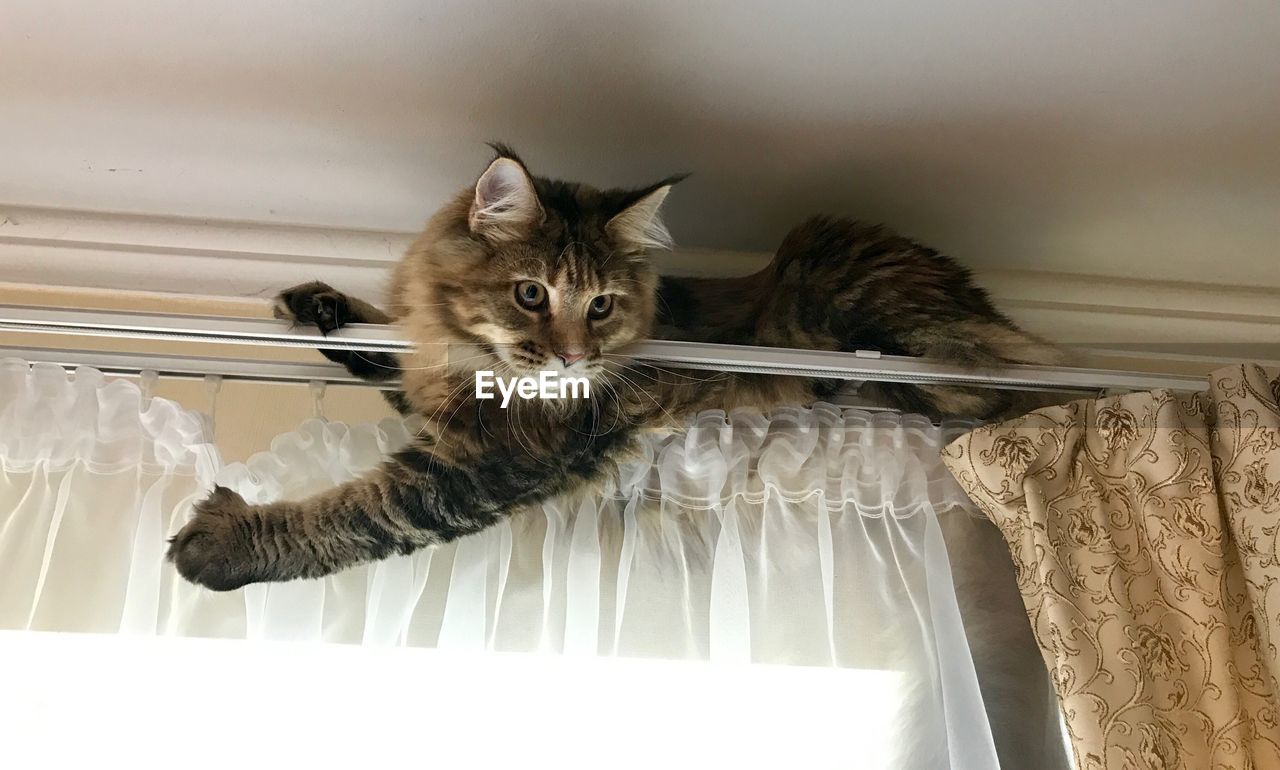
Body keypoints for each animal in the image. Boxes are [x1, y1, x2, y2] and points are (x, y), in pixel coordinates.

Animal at [165, 143, 1054, 588]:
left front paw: (227, 544)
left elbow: (354, 515)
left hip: (844, 272)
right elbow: (386, 356)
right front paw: (322, 308)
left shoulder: (485, 461)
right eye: (531, 293)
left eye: (600, 306)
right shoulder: (440, 395)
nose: (573, 355)